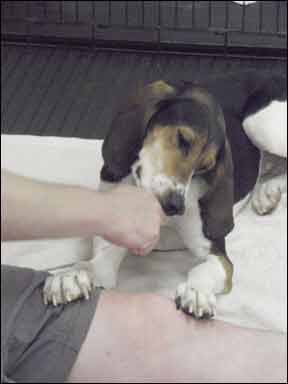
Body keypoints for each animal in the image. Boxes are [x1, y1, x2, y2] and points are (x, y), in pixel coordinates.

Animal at [42, 70, 286, 320]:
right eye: (182, 139)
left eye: (205, 166)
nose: (175, 206)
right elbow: (97, 264)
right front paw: (72, 275)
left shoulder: (216, 252)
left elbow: (204, 269)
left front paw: (196, 290)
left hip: (262, 126)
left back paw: (268, 191)